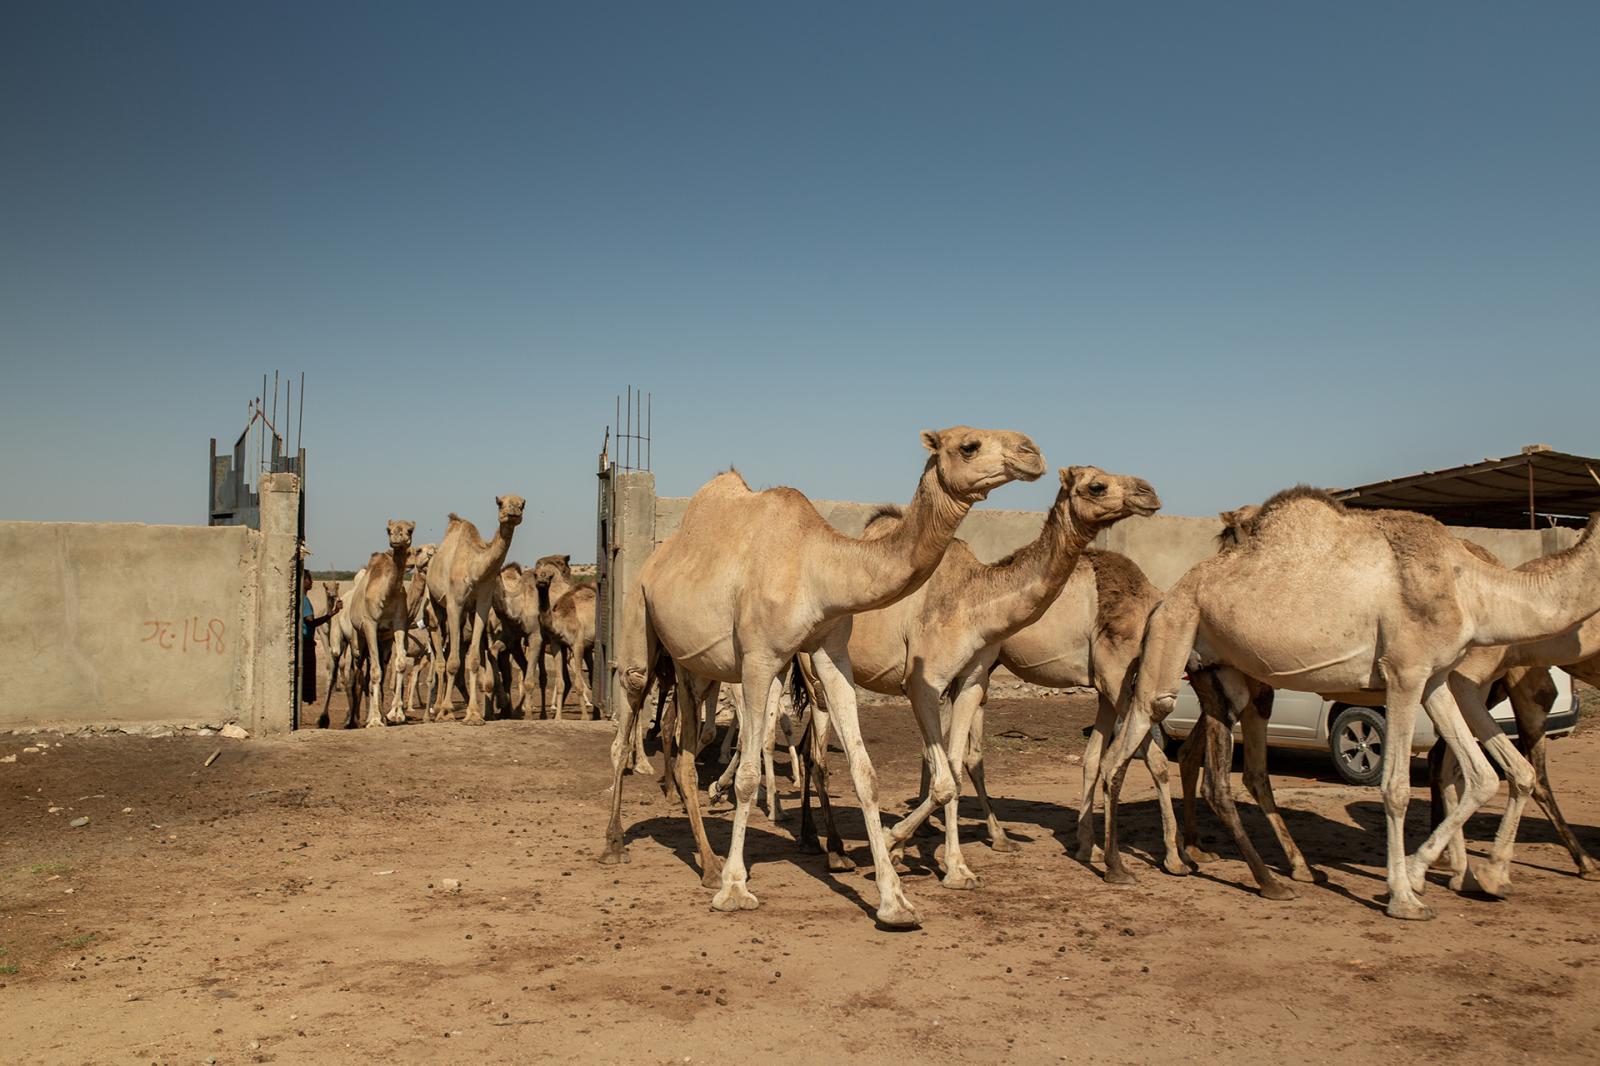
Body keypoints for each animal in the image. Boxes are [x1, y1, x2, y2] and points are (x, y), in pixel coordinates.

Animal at [425, 492, 524, 726]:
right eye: (500, 503)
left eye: (523, 503)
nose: (513, 512)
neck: (474, 568)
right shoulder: (455, 603)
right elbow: (452, 662)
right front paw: (447, 710)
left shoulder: (481, 604)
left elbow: (475, 660)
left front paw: (474, 715)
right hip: (436, 605)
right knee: (441, 657)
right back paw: (439, 710)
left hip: (466, 615)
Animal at [531, 550, 601, 717]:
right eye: (535, 574)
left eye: (550, 576)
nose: (542, 580)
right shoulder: (557, 645)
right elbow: (561, 682)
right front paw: (557, 717)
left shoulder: (577, 644)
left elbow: (578, 682)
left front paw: (584, 717)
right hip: (587, 647)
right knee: (591, 674)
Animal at [598, 428, 1036, 928]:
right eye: (969, 445)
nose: (1032, 453)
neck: (816, 566)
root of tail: (655, 556)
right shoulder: (758, 660)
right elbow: (748, 773)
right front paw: (736, 888)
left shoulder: (830, 653)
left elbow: (864, 771)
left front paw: (895, 901)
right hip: (640, 619)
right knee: (627, 719)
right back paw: (616, 844)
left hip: (693, 665)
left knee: (688, 748)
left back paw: (707, 865)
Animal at [844, 464, 1158, 889]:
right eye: (1097, 485)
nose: (1148, 492)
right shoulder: (923, 681)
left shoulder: (971, 678)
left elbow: (953, 766)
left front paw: (954, 867)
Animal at [1100, 486, 1600, 915]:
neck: (1473, 589)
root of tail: (1169, 592)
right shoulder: (1404, 674)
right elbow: (1396, 788)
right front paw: (1406, 895)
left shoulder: (1437, 678)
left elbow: (1483, 776)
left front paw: (1465, 875)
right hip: (1174, 633)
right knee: (1134, 736)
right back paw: (1119, 866)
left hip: (1219, 668)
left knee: (1215, 769)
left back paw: (1268, 878)